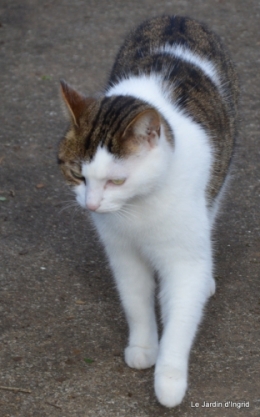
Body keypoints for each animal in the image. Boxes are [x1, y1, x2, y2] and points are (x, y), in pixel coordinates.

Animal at [58, 14, 239, 404]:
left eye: (116, 180)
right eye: (78, 174)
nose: (91, 204)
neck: (137, 207)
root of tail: (176, 16)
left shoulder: (184, 259)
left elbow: (182, 315)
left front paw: (169, 378)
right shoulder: (122, 252)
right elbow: (135, 299)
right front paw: (144, 347)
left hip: (221, 173)